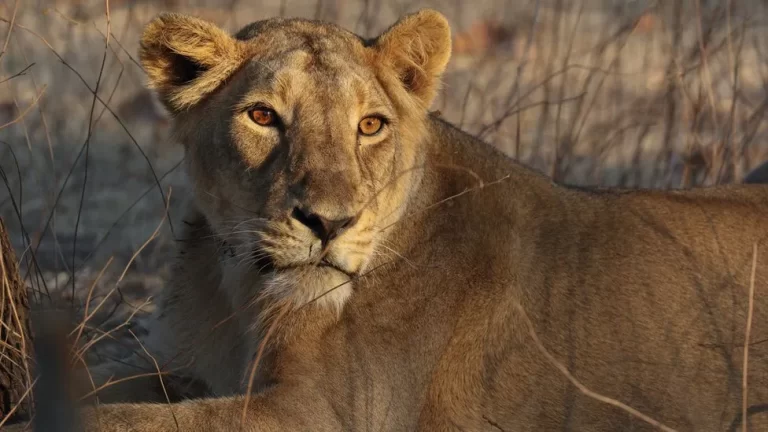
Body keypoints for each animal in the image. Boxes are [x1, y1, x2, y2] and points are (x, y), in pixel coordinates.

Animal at [10, 8, 768, 432]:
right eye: (262, 115)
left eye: (370, 125)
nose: (328, 222)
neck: (241, 290)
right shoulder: (184, 367)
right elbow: (87, 382)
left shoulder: (323, 415)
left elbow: (118, 421)